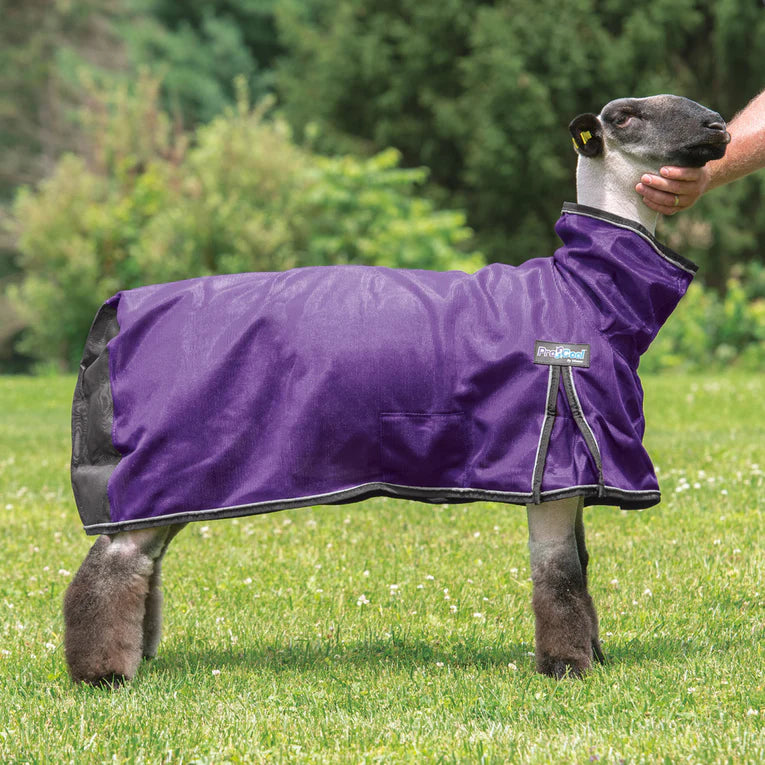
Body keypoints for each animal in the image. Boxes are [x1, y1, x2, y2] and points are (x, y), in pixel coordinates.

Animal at [64, 95, 729, 685]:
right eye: (626, 117)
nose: (719, 126)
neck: (585, 291)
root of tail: (117, 314)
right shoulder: (555, 459)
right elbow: (560, 577)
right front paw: (568, 669)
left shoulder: (578, 469)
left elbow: (582, 571)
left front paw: (593, 656)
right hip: (165, 465)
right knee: (111, 566)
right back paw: (102, 674)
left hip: (179, 482)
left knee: (144, 562)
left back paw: (139, 655)